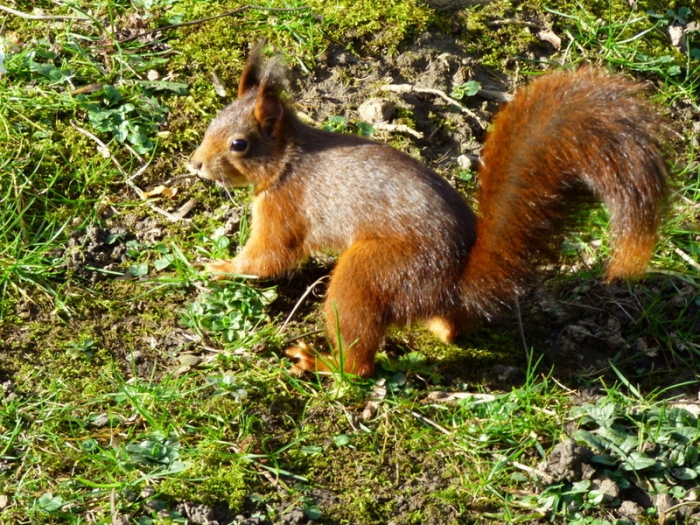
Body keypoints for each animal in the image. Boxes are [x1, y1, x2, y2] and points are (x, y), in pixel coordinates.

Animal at [190, 43, 670, 378]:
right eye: (212, 123)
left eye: (239, 144)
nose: (194, 165)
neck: (289, 158)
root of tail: (451, 285)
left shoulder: (285, 208)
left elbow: (269, 259)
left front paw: (222, 267)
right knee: (451, 330)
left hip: (374, 272)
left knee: (359, 361)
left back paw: (324, 364)